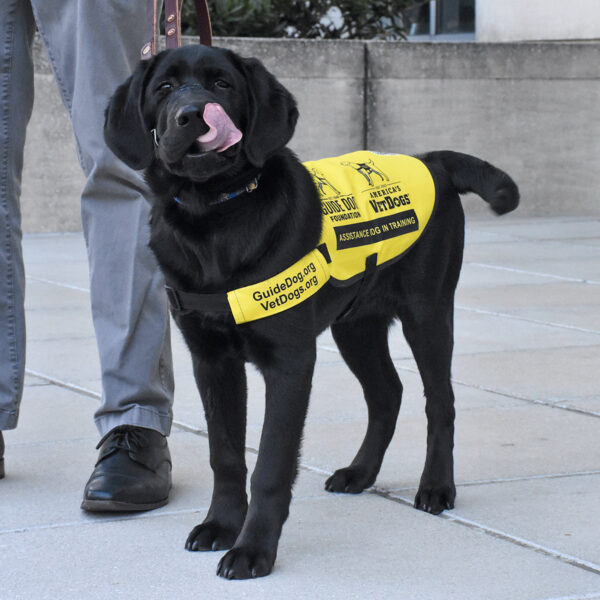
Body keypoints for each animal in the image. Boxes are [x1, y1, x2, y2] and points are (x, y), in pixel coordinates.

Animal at [104, 44, 520, 580]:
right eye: (164, 89)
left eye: (222, 85)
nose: (192, 115)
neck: (213, 218)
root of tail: (432, 161)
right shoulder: (211, 361)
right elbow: (226, 456)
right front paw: (221, 525)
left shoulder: (290, 361)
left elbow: (271, 463)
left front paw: (254, 549)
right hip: (356, 326)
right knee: (387, 394)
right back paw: (361, 472)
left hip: (427, 313)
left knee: (439, 401)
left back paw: (436, 487)